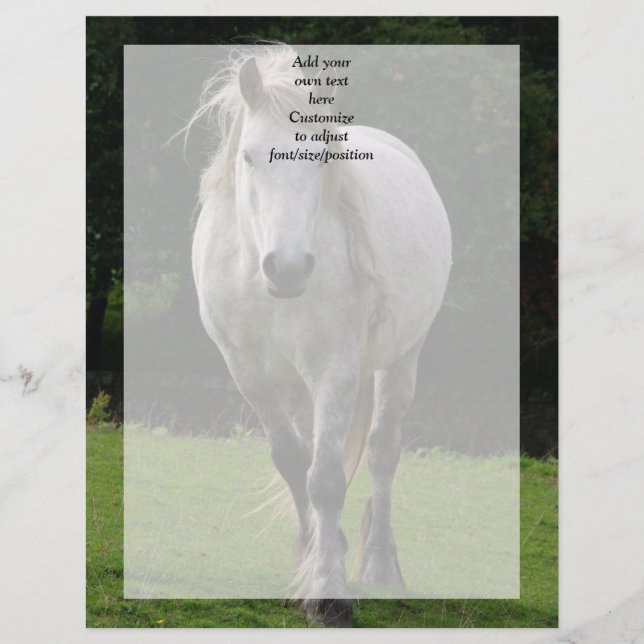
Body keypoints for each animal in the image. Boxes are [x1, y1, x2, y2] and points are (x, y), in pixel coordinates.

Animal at [190, 46, 452, 626]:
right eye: (249, 157)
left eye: (319, 159)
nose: (287, 269)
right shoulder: (249, 374)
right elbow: (294, 463)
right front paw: (310, 560)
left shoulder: (336, 370)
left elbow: (326, 478)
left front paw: (329, 594)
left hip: (403, 358)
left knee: (381, 453)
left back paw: (379, 565)